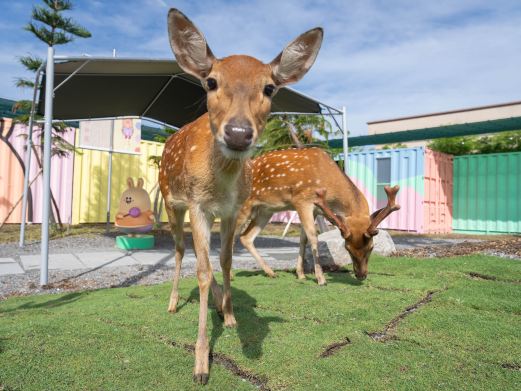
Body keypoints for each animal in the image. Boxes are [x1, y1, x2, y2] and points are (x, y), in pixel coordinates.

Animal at [158, 7, 320, 384]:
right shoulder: (198, 206)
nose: (237, 132)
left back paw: (219, 303)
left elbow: (226, 261)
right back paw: (173, 302)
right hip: (171, 202)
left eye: (269, 87)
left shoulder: (231, 210)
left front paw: (231, 316)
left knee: (202, 257)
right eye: (211, 82)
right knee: (180, 251)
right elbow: (202, 272)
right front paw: (201, 363)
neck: (221, 185)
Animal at [236, 147, 398, 284]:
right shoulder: (302, 200)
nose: (361, 275)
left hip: (265, 211)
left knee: (246, 237)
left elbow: (303, 239)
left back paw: (270, 272)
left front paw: (301, 274)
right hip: (242, 206)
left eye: (371, 247)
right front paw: (320, 278)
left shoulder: (315, 210)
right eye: (347, 248)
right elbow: (313, 237)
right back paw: (232, 277)